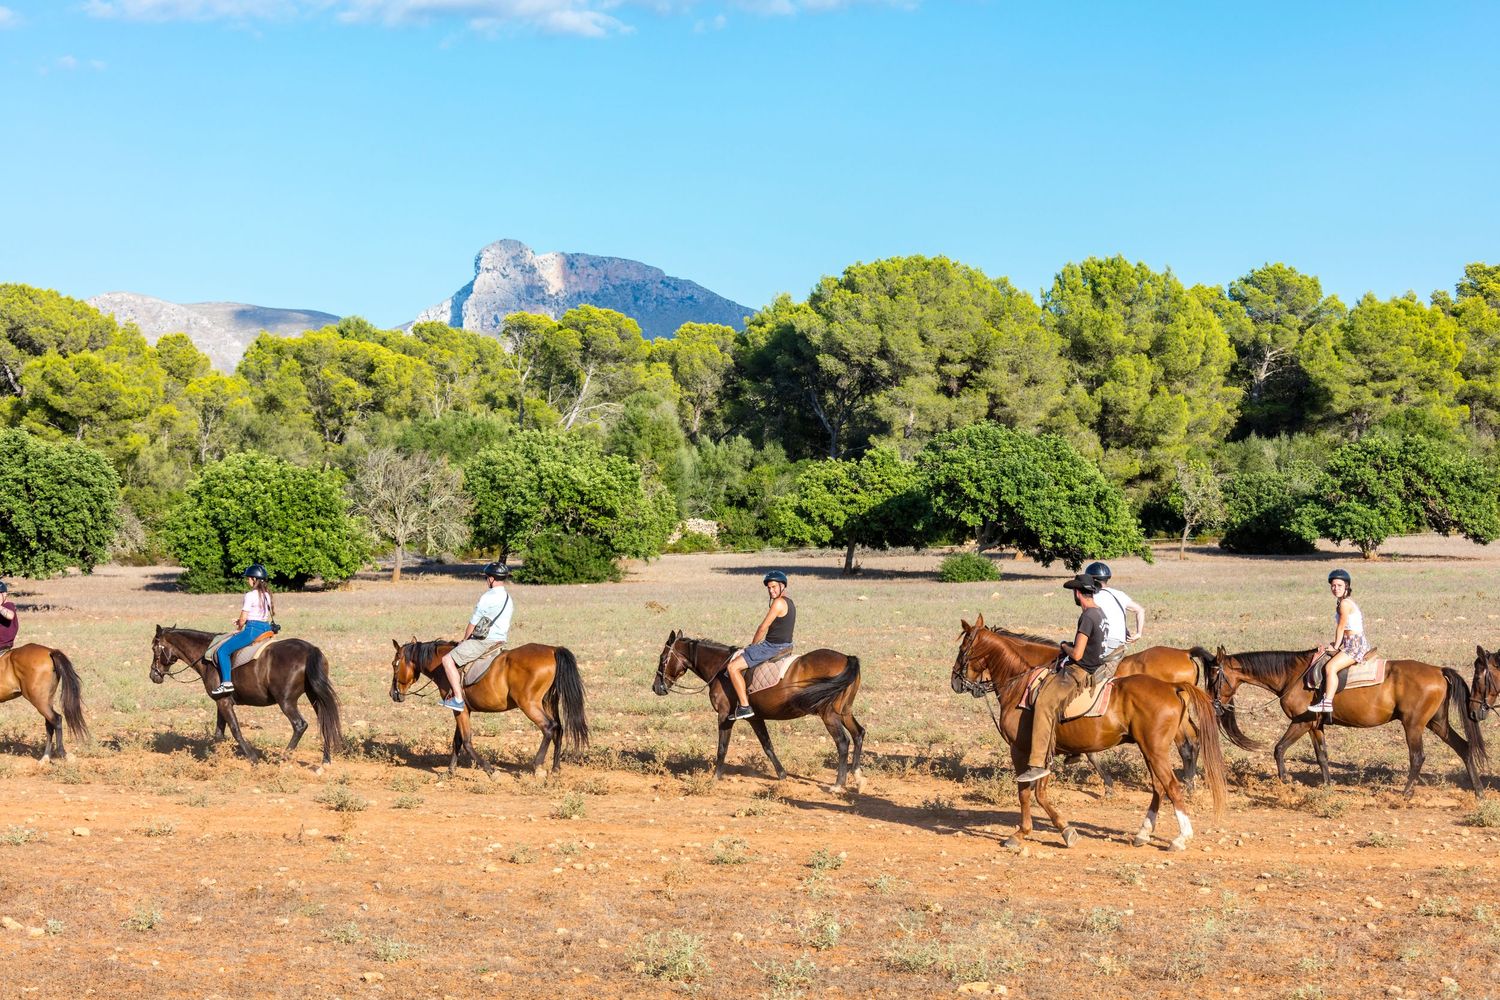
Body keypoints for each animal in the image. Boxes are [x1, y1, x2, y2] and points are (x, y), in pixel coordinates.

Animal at [150, 625, 343, 766]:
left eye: (154, 648)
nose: (153, 675)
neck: (206, 656)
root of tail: (310, 650)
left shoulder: (224, 702)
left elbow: (235, 729)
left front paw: (252, 757)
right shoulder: (222, 701)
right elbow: (219, 734)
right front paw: (216, 759)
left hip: (286, 701)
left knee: (300, 725)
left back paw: (283, 758)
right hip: (315, 696)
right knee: (325, 720)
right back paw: (326, 759)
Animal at [389, 639, 588, 778]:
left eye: (394, 664)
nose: (393, 693)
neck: (443, 666)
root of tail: (552, 649)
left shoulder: (459, 710)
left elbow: (467, 742)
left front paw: (490, 771)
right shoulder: (463, 710)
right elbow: (457, 741)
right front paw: (450, 771)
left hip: (529, 704)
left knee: (548, 727)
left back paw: (537, 765)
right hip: (548, 702)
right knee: (559, 729)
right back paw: (555, 768)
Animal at [653, 629, 866, 793]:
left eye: (663, 658)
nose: (656, 687)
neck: (721, 668)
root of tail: (847, 658)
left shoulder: (725, 717)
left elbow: (722, 748)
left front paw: (715, 777)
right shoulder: (755, 718)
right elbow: (767, 746)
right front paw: (782, 775)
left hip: (829, 715)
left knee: (843, 742)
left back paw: (838, 784)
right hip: (844, 711)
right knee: (859, 733)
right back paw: (857, 777)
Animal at [951, 620, 1228, 851]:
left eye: (963, 649)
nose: (955, 682)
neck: (1023, 682)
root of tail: (1172, 686)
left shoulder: (1023, 749)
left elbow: (1028, 792)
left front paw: (1032, 832)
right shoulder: (1044, 751)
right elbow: (1040, 789)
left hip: (1155, 749)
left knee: (1173, 781)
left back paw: (1181, 836)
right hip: (1149, 749)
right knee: (1160, 785)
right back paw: (1143, 833)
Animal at [1209, 646, 1487, 797]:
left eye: (1214, 678)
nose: (1214, 705)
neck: (1293, 676)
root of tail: (1439, 670)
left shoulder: (1301, 723)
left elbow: (1278, 748)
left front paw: (1285, 780)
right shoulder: (1315, 726)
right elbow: (1321, 755)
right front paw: (1328, 785)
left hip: (1414, 725)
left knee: (1417, 757)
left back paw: (1406, 793)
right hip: (1436, 723)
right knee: (1464, 747)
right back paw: (1478, 790)